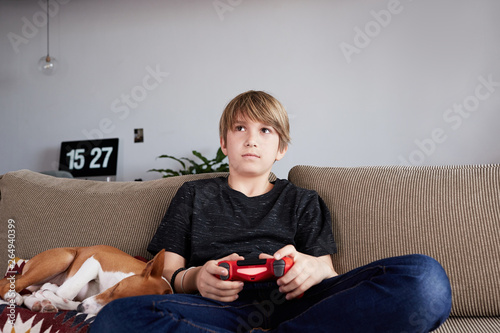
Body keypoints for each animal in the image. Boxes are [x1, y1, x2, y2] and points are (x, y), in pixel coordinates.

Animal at [0, 244, 172, 314]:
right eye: (117, 287)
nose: (82, 308)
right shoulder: (96, 259)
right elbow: (67, 291)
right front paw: (52, 289)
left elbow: (69, 299)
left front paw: (48, 295)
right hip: (64, 258)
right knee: (11, 285)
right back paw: (14, 296)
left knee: (27, 292)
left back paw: (39, 304)